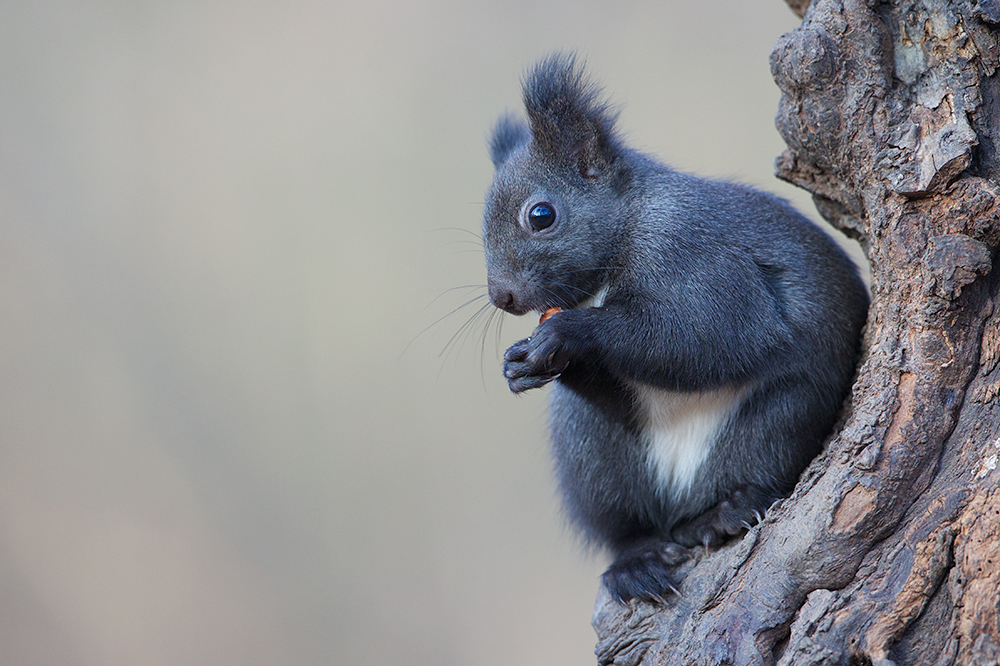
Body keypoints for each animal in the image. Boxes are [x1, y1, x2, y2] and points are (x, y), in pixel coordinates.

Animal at [482, 54, 868, 600]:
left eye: (541, 215)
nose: (502, 297)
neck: (626, 227)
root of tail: (678, 504)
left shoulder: (694, 253)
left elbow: (709, 338)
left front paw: (571, 333)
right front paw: (518, 366)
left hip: (781, 415)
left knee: (760, 467)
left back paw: (725, 511)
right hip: (593, 454)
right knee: (631, 528)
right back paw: (637, 562)